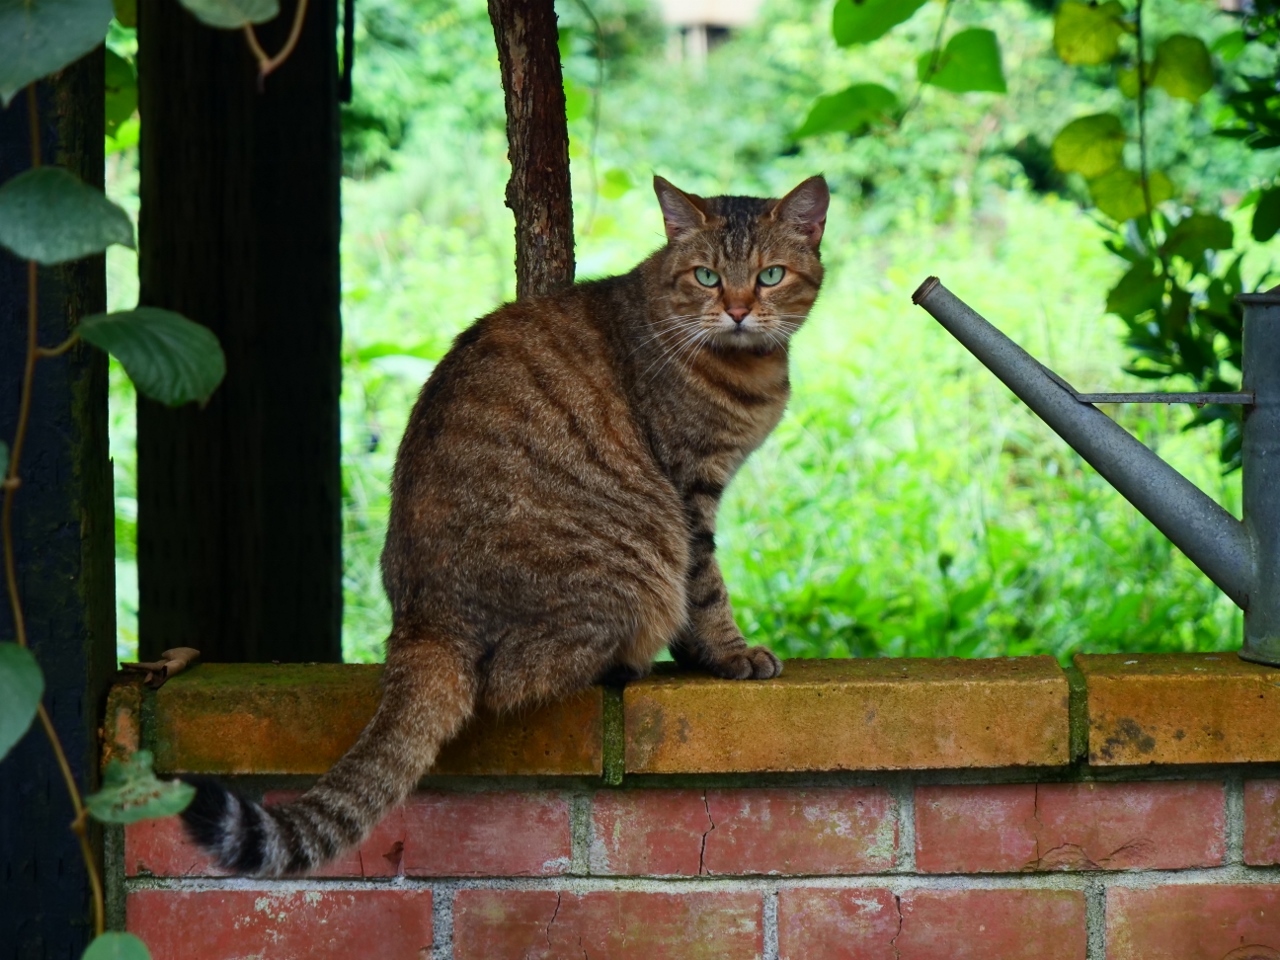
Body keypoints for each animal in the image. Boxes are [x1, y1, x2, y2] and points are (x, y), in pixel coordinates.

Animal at [180, 172, 829, 880]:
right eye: (708, 276)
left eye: (769, 275)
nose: (737, 310)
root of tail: (422, 624)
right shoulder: (687, 492)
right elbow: (706, 588)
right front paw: (731, 654)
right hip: (640, 559)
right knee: (513, 679)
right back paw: (625, 664)